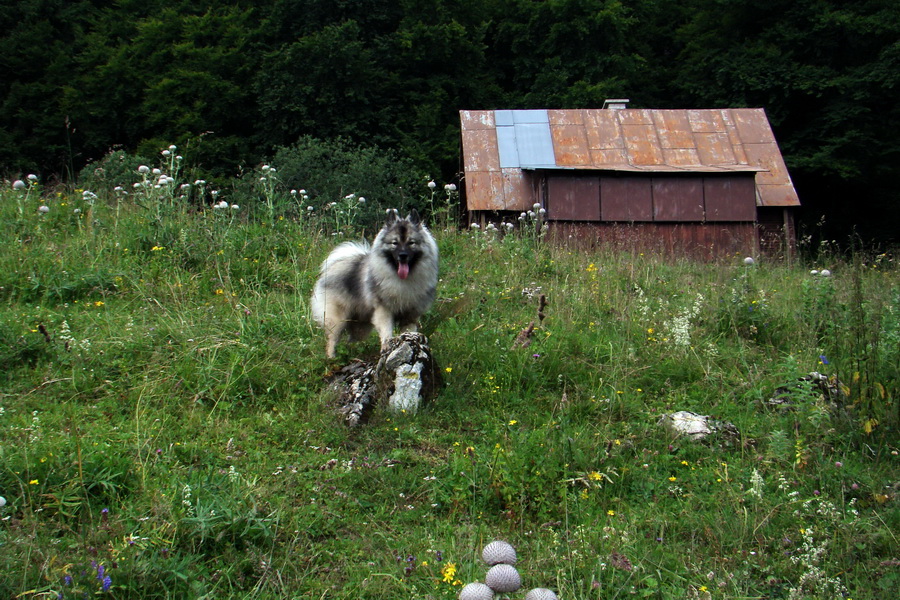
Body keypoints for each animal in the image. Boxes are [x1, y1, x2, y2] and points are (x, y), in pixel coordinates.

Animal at [312, 209, 438, 356]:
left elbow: (408, 331)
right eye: (394, 243)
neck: (403, 280)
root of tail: (335, 265)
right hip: (338, 319)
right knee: (332, 339)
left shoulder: (411, 314)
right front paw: (387, 345)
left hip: (361, 325)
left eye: (411, 242)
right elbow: (386, 329)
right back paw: (332, 357)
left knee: (352, 339)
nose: (403, 255)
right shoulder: (384, 309)